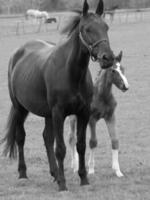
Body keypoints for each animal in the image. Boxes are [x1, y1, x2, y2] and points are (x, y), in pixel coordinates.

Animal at [0, 0, 113, 191]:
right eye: (87, 29)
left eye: (106, 27)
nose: (108, 58)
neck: (71, 73)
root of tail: (19, 52)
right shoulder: (59, 113)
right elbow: (60, 148)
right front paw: (63, 184)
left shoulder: (83, 113)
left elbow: (80, 145)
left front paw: (83, 178)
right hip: (20, 108)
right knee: (20, 137)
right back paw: (23, 174)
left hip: (47, 114)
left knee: (47, 138)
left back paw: (54, 173)